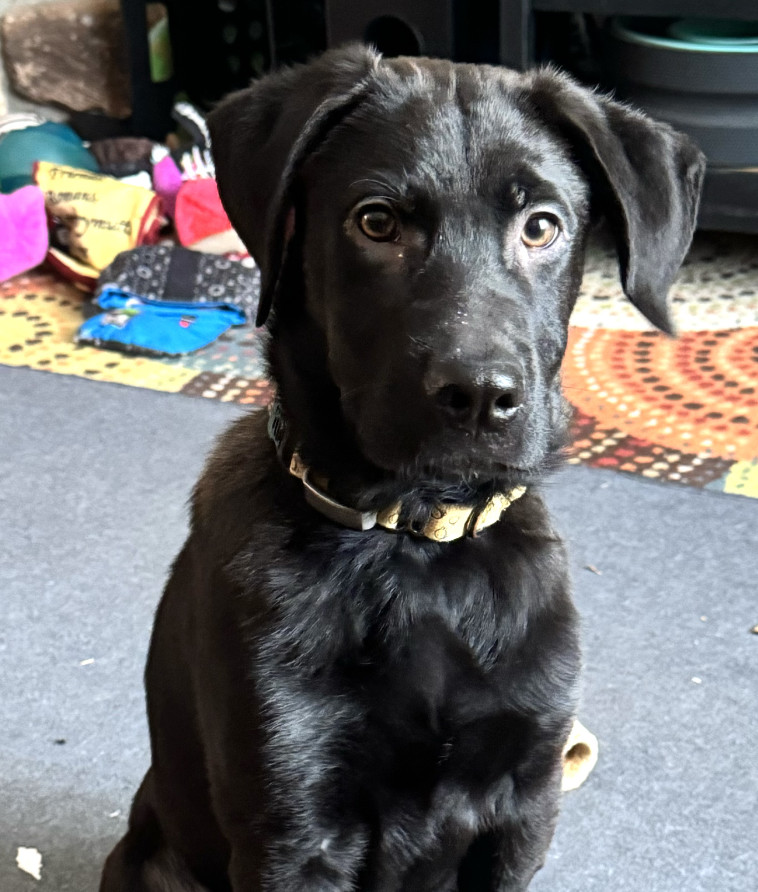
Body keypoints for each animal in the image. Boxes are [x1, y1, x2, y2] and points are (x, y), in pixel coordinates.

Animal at [101, 47, 708, 892]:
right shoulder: (292, 826)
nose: (480, 396)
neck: (418, 545)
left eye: (542, 226)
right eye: (376, 222)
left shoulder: (524, 807)